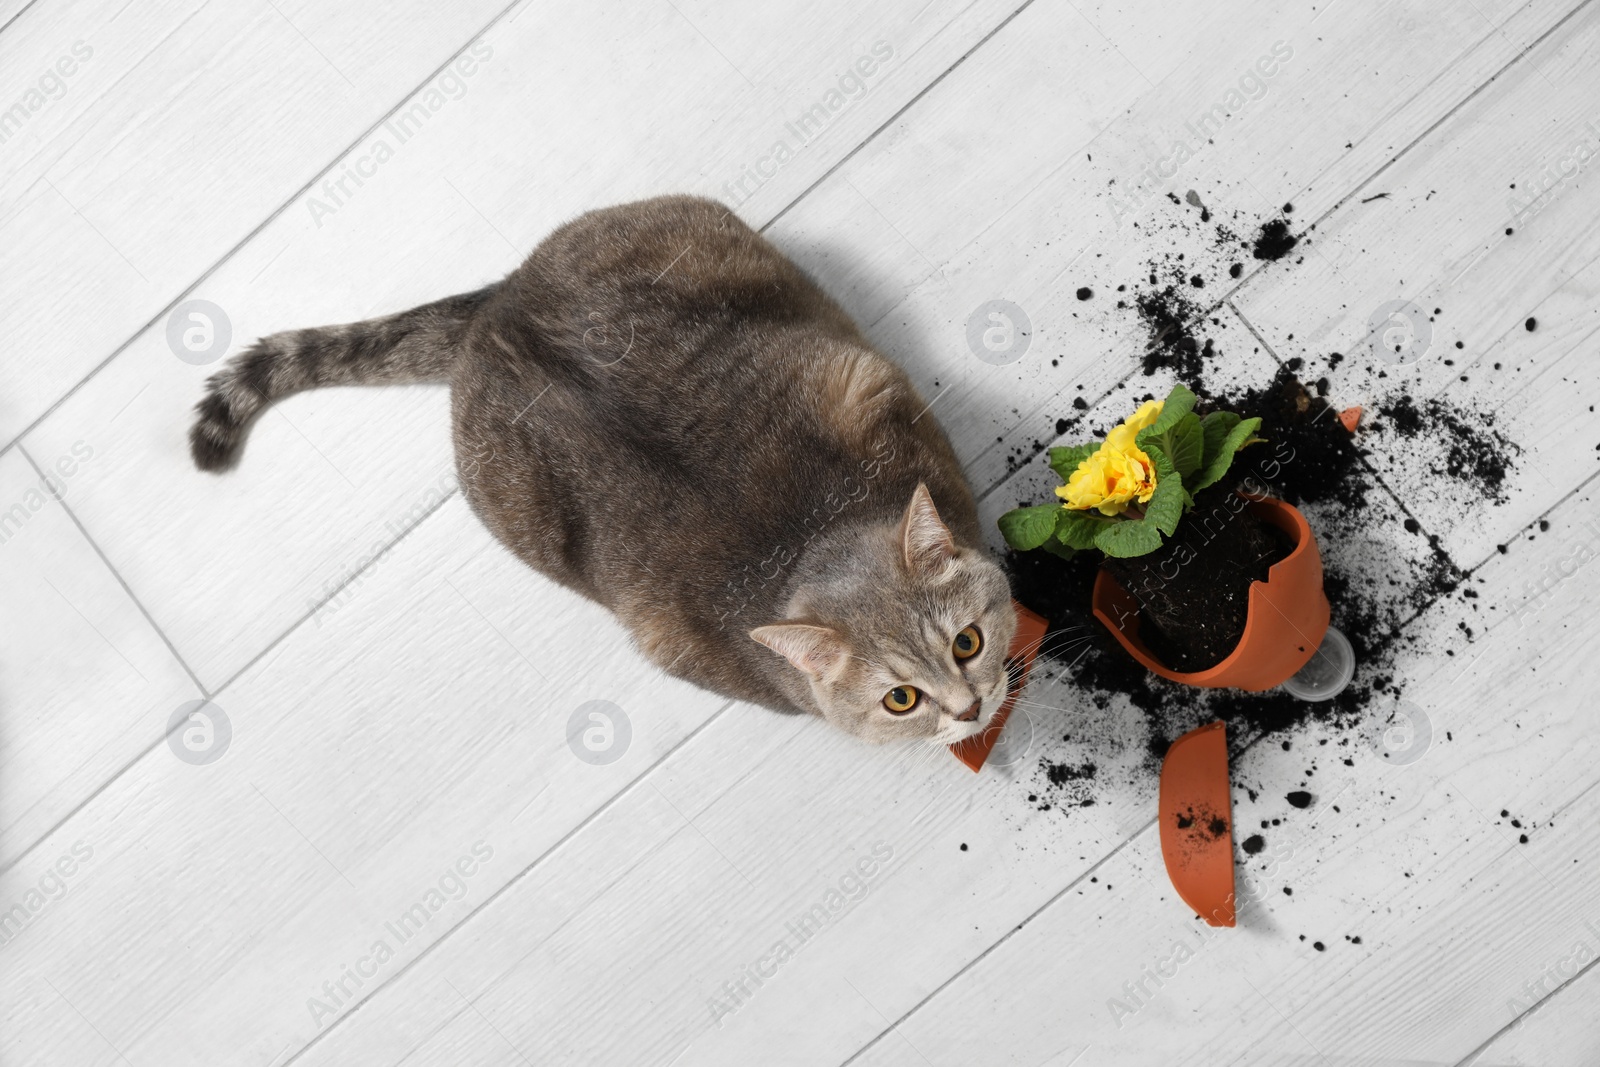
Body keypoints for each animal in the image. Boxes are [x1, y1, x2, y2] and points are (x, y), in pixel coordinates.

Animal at [187, 198, 1011, 742]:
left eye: (966, 644)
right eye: (901, 699)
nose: (969, 708)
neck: (811, 537)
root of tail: (493, 311)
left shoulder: (866, 386)